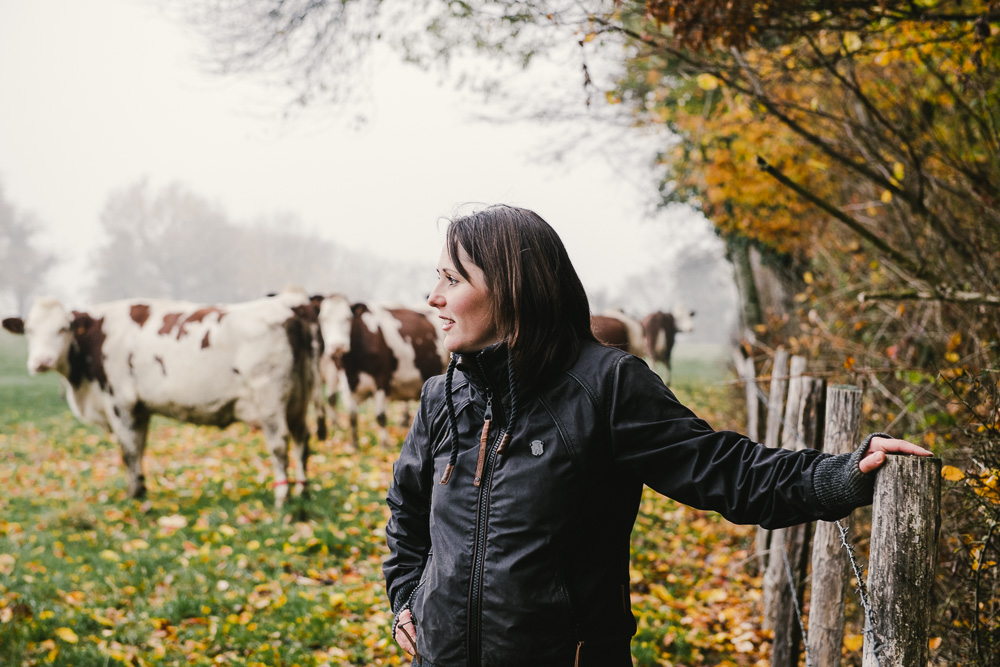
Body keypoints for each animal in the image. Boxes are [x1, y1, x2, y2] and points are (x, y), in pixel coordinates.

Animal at [0, 290, 320, 506]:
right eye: (29, 330)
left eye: (63, 328)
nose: (41, 361)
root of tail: (292, 305)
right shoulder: (140, 408)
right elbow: (140, 448)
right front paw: (140, 489)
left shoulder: (120, 403)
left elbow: (128, 451)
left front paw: (134, 495)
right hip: (300, 397)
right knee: (302, 439)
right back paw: (302, 489)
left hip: (270, 400)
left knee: (279, 444)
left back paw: (282, 495)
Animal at [318, 296, 448, 448]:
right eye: (323, 319)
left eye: (348, 318)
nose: (337, 346)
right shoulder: (345, 383)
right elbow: (352, 416)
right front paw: (354, 445)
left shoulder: (381, 379)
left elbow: (380, 415)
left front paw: (384, 445)